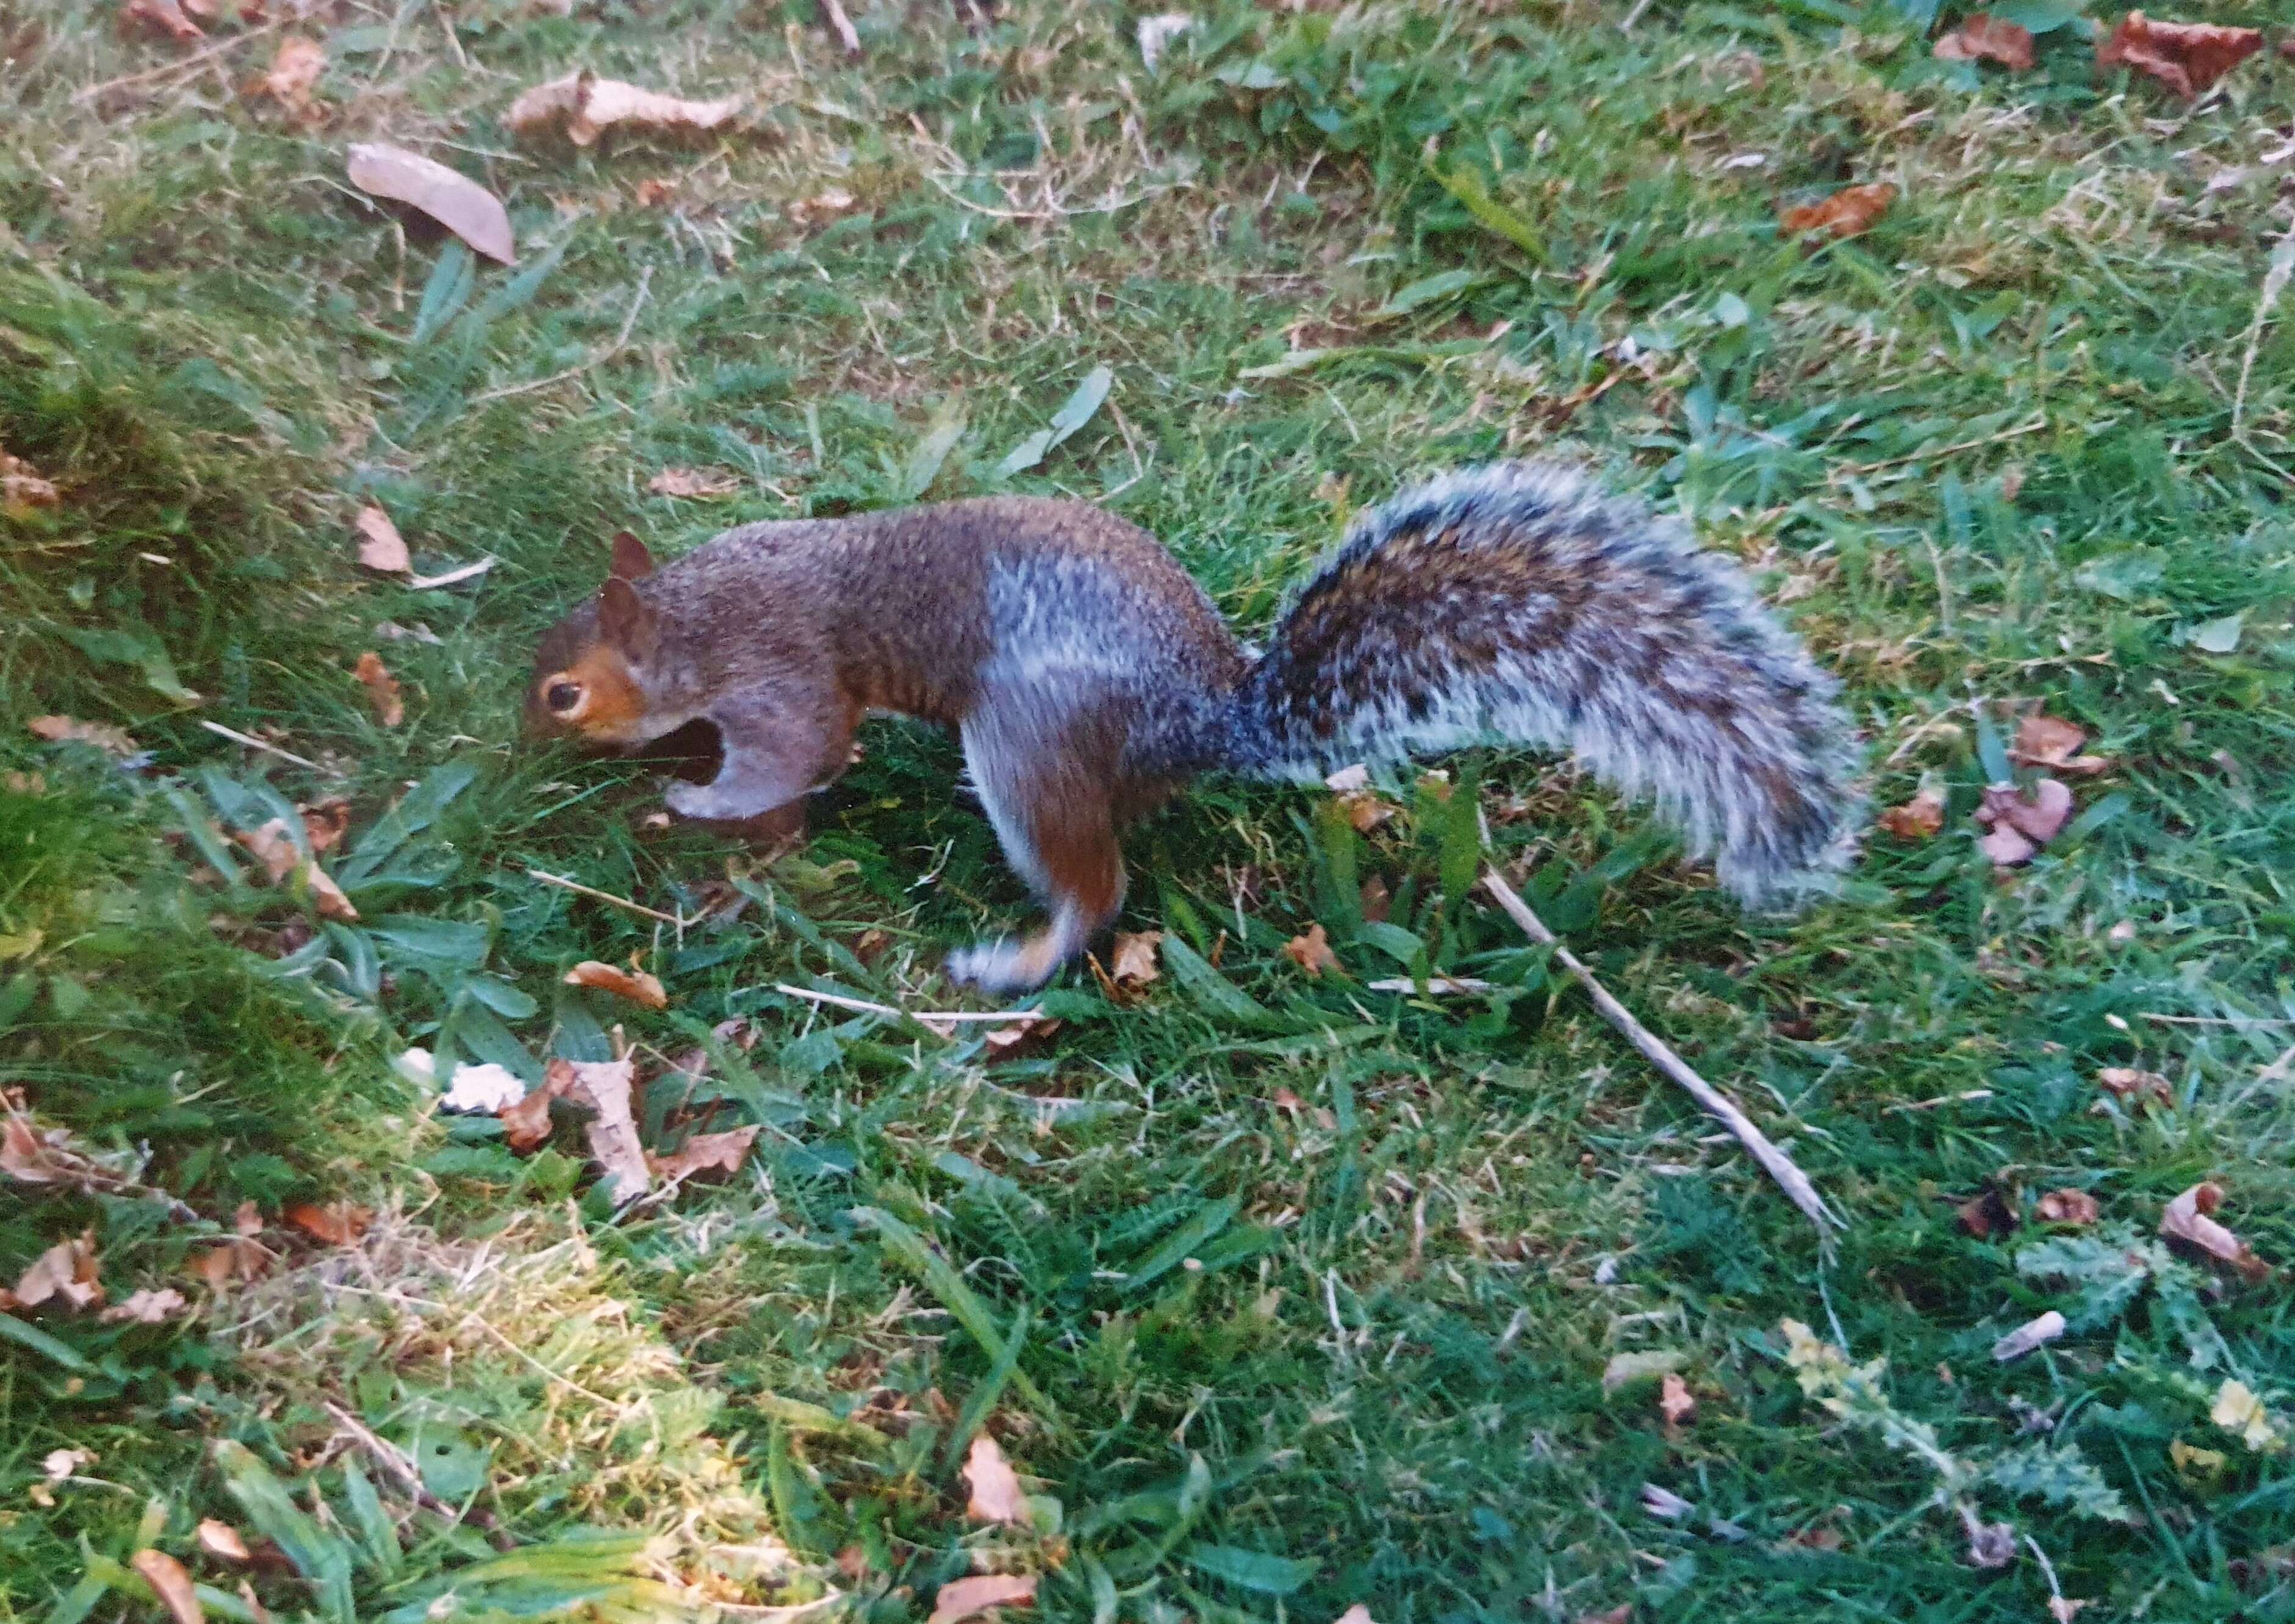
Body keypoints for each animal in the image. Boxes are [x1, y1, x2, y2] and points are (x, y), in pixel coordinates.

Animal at [525, 461, 1863, 991]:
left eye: (562, 692)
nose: (524, 740)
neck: (694, 610)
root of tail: (1207, 722)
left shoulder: (780, 677)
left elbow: (797, 756)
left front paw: (696, 796)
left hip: (1031, 739)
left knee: (1097, 888)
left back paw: (1017, 957)